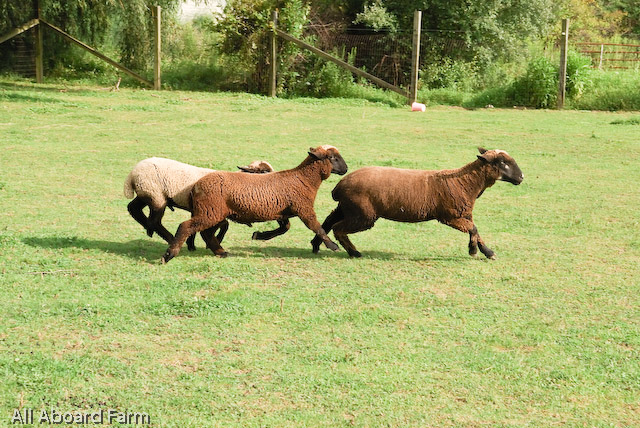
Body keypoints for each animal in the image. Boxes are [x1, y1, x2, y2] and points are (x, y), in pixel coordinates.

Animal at [162, 145, 348, 262]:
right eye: (332, 157)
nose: (346, 169)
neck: (302, 179)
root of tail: (196, 185)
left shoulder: (282, 211)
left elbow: (284, 228)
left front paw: (259, 235)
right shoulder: (304, 209)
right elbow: (317, 227)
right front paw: (332, 246)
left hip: (212, 212)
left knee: (206, 232)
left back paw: (221, 252)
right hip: (210, 211)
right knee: (187, 226)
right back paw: (169, 254)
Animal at [312, 147, 524, 260]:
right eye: (502, 163)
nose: (521, 177)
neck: (465, 182)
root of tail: (339, 186)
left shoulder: (464, 214)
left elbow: (476, 231)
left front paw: (487, 252)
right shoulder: (449, 216)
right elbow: (473, 229)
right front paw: (473, 251)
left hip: (348, 208)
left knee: (329, 221)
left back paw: (317, 245)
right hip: (362, 213)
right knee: (338, 228)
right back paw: (353, 252)